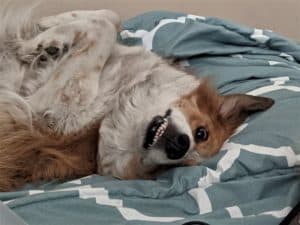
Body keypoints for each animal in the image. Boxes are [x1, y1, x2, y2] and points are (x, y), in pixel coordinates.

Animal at [0, 2, 274, 191]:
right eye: (201, 133)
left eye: (177, 166)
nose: (179, 146)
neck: (122, 95)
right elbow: (111, 17)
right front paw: (47, 34)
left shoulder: (56, 109)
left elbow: (104, 30)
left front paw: (47, 40)